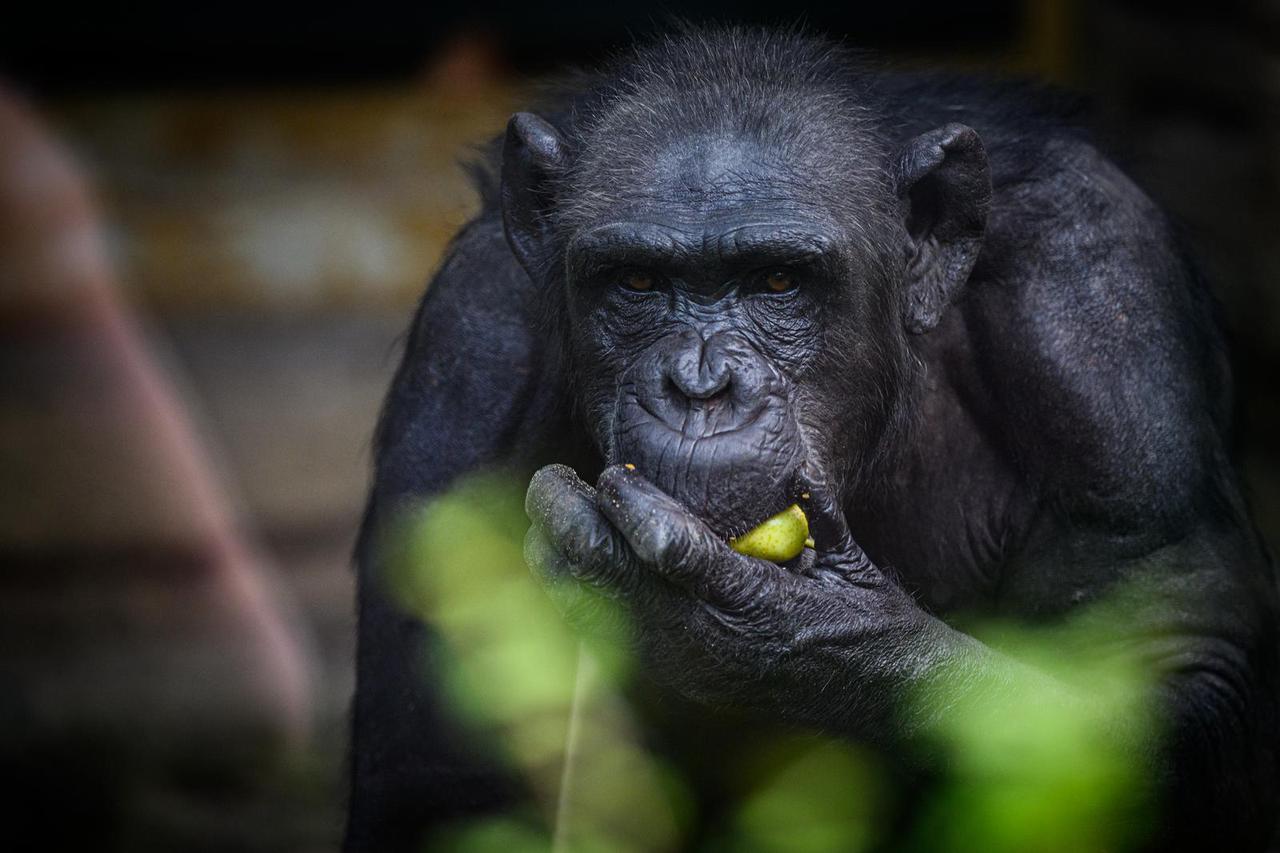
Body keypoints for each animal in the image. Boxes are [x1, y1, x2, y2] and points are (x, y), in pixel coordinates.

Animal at [343, 23, 1280, 845]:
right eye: (637, 280)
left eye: (778, 280)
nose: (701, 386)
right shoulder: (470, 347)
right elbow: (438, 779)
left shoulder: (1101, 309)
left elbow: (1173, 658)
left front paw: (787, 630)